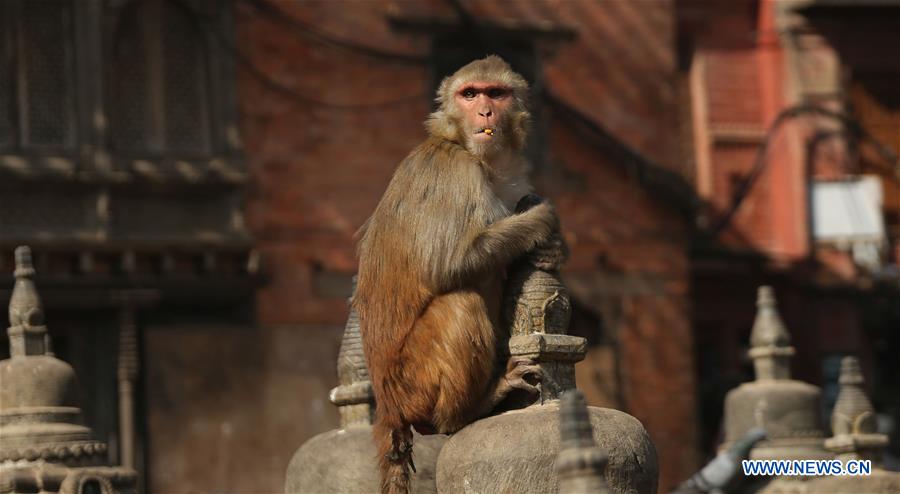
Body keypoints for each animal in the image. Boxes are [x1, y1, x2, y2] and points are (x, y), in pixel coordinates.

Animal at [356, 54, 560, 494]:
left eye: (495, 93)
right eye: (470, 94)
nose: (484, 112)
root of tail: (388, 407)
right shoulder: (455, 171)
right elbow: (448, 263)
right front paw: (543, 222)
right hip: (413, 383)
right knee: (459, 303)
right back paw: (466, 412)